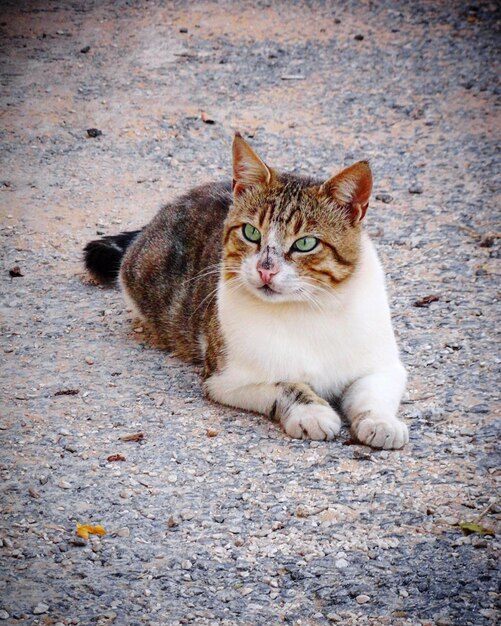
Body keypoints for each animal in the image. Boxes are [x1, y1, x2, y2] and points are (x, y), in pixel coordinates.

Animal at [84, 134, 408, 448]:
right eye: (251, 232)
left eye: (305, 243)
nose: (266, 269)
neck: (309, 308)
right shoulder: (226, 379)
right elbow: (286, 385)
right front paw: (312, 411)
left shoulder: (384, 366)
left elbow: (373, 394)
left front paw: (380, 421)